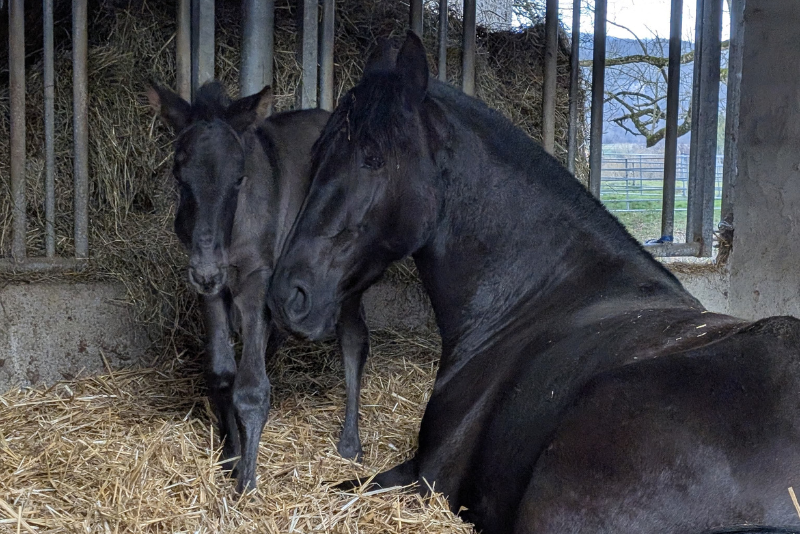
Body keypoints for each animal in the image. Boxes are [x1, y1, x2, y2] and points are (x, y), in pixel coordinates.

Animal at [147, 82, 370, 492]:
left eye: (239, 178)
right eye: (179, 175)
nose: (206, 270)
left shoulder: (256, 280)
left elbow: (251, 389)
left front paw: (246, 484)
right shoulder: (211, 287)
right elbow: (222, 372)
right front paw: (230, 458)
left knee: (353, 338)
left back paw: (350, 443)